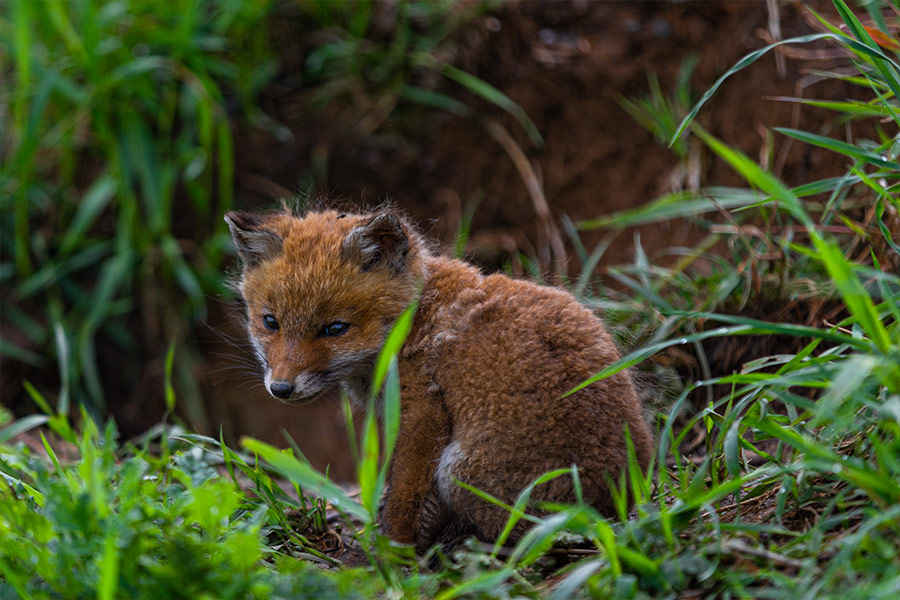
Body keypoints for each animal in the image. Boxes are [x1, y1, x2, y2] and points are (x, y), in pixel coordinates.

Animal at [225, 207, 654, 552]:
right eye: (270, 323)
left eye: (334, 329)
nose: (281, 388)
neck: (413, 319)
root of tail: (614, 503)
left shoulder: (422, 417)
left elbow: (403, 495)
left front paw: (392, 553)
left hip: (458, 470)